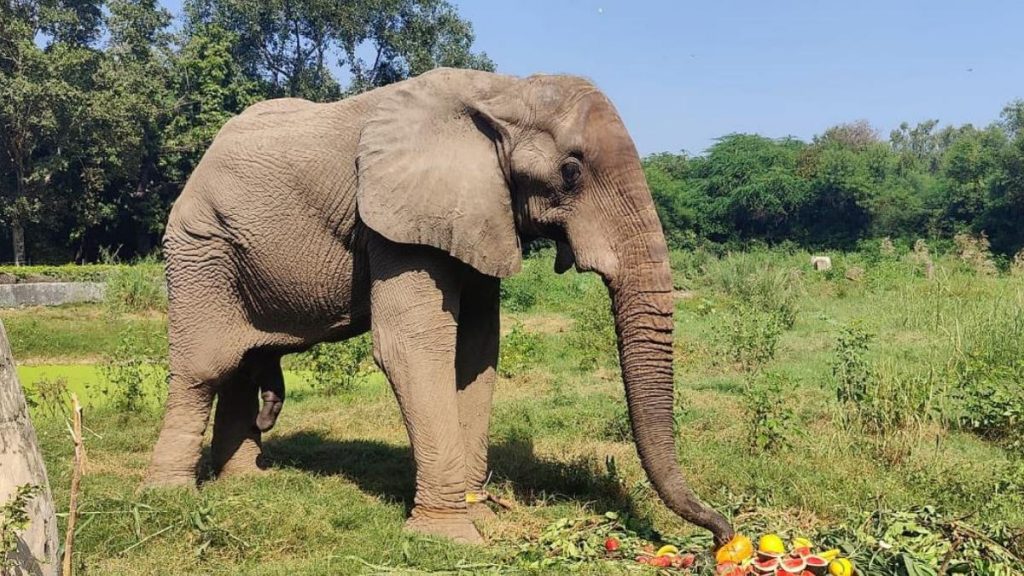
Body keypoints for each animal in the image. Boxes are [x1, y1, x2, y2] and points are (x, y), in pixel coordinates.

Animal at [146, 66, 737, 541]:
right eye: (571, 171)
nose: (722, 533)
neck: (503, 91)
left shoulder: (478, 214)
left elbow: (476, 350)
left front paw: (483, 515)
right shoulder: (396, 219)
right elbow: (414, 346)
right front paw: (451, 538)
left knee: (242, 362)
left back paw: (245, 483)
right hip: (200, 246)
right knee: (207, 365)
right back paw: (172, 496)